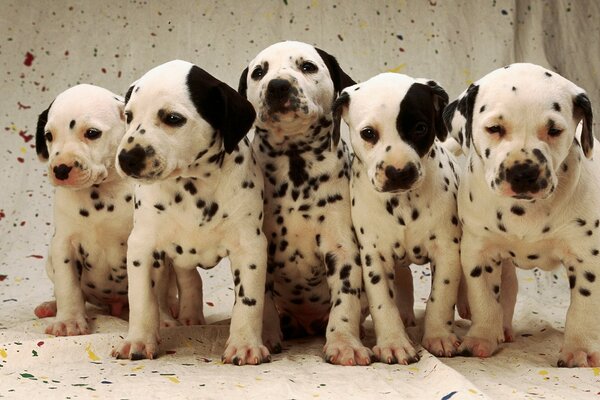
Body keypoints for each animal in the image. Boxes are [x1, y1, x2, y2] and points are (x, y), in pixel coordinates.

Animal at [34, 85, 138, 338]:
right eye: (49, 136)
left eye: (92, 133)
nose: (60, 169)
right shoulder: (64, 245)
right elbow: (68, 287)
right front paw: (69, 321)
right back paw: (50, 306)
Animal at [111, 60, 270, 366]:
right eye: (129, 115)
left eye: (173, 119)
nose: (127, 158)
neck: (192, 187)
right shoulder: (142, 246)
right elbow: (142, 299)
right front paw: (138, 341)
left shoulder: (250, 247)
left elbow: (249, 301)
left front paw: (244, 344)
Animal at [238, 40, 370, 366]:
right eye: (259, 72)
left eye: (308, 66)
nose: (278, 86)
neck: (294, 163)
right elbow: (263, 300)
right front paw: (265, 337)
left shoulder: (342, 250)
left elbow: (345, 302)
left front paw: (345, 343)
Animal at [336, 72, 462, 362]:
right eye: (368, 133)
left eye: (420, 128)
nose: (399, 171)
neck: (403, 203)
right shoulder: (373, 256)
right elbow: (383, 303)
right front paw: (394, 341)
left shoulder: (447, 251)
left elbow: (441, 297)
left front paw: (438, 336)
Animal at [442, 63, 596, 368]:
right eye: (494, 128)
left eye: (554, 130)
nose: (524, 172)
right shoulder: (478, 251)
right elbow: (485, 299)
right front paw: (482, 338)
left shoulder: (586, 257)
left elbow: (583, 307)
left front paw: (579, 349)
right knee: (509, 290)